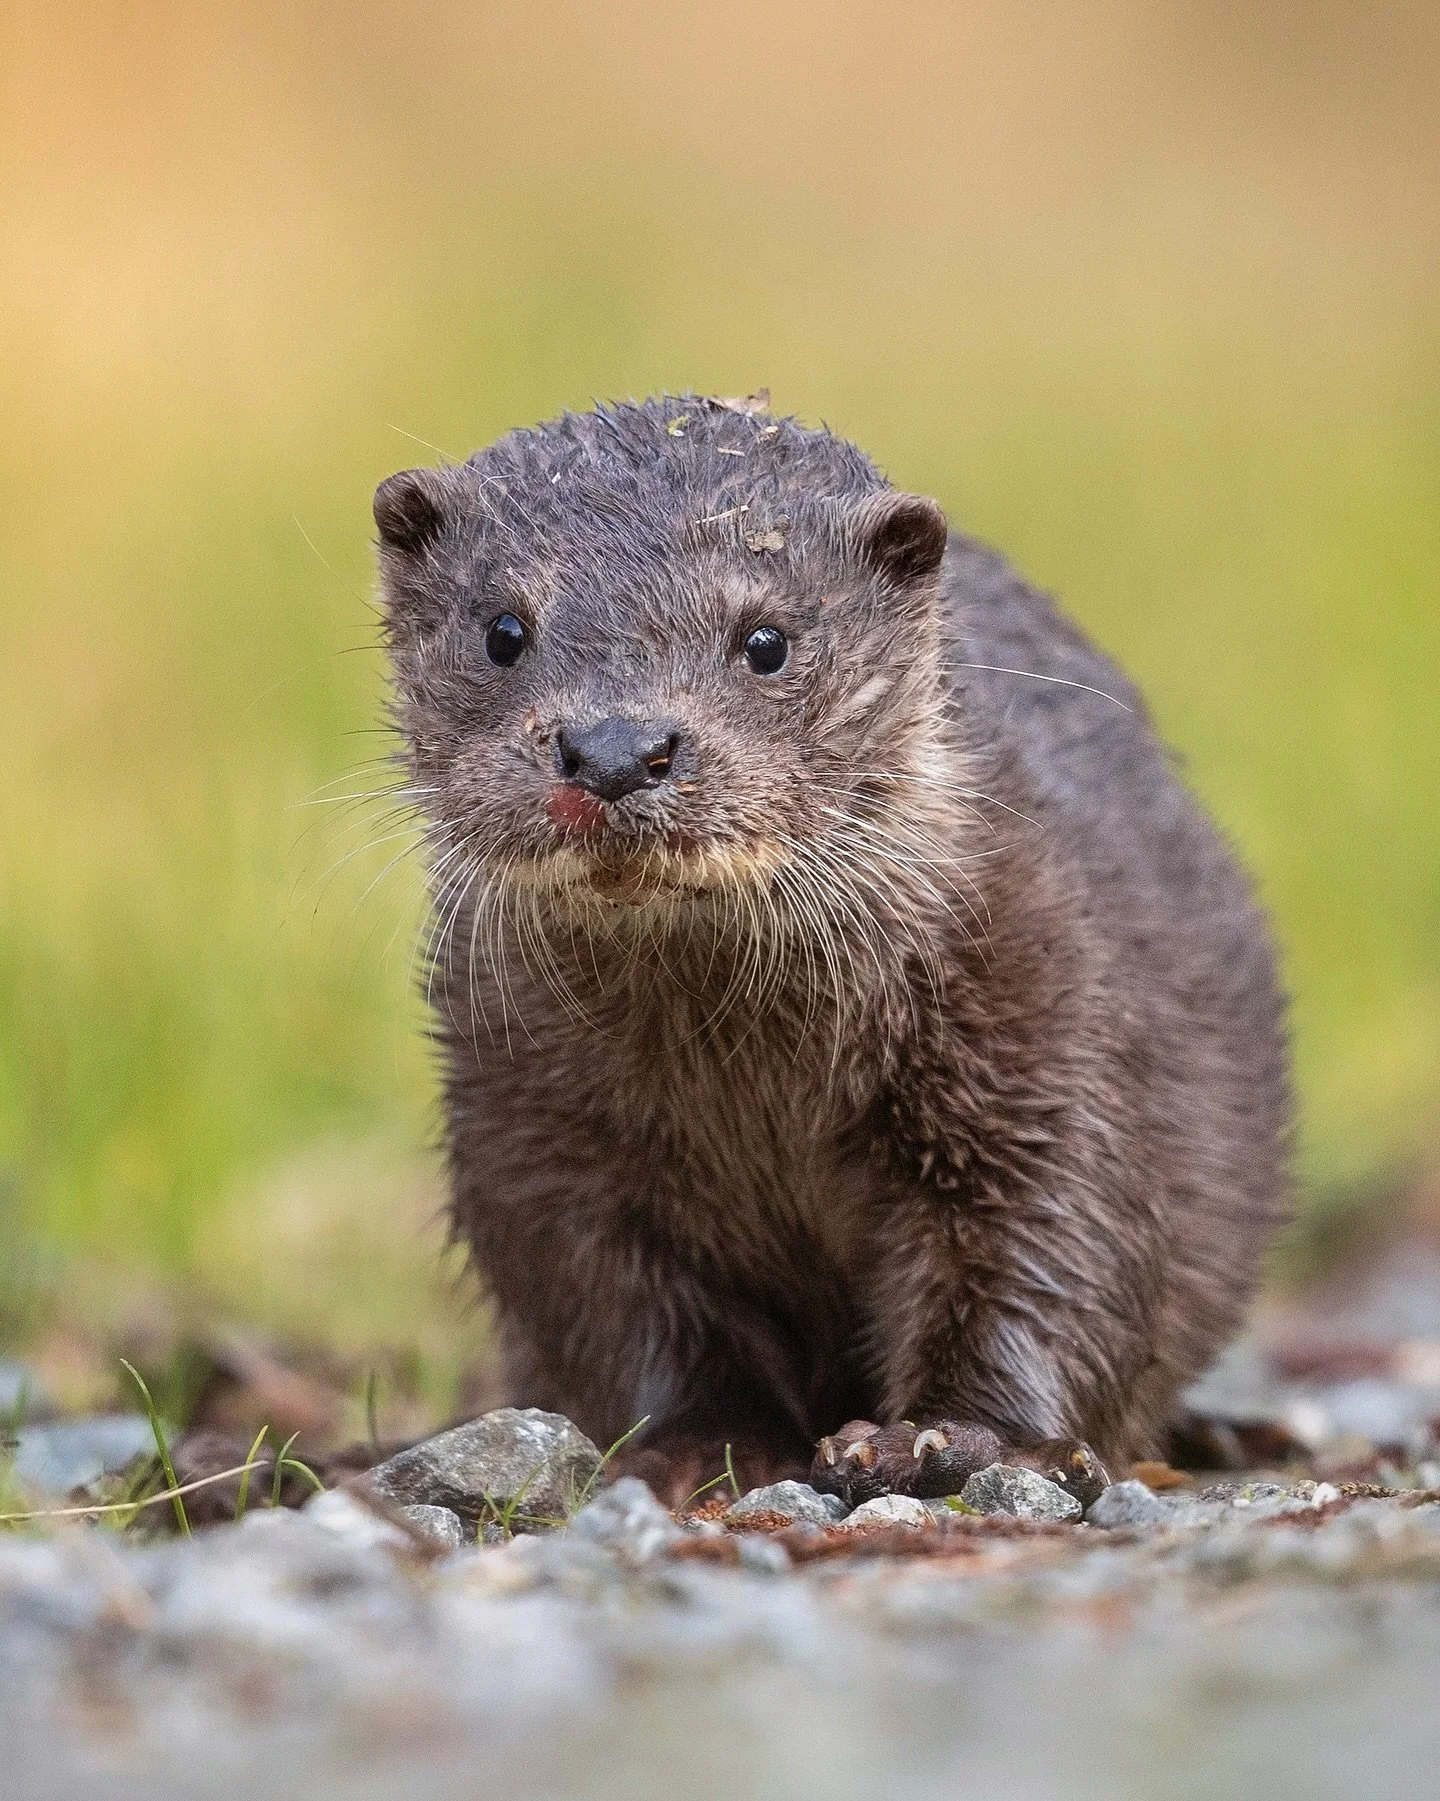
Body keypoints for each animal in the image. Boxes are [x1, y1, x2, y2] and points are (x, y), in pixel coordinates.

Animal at [374, 395, 1289, 1508]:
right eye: (504, 630)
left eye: (766, 639)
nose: (616, 747)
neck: (754, 1083)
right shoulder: (531, 1128)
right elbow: (603, 1294)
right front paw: (697, 1445)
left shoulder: (1051, 1026)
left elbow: (1053, 1240)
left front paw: (947, 1437)